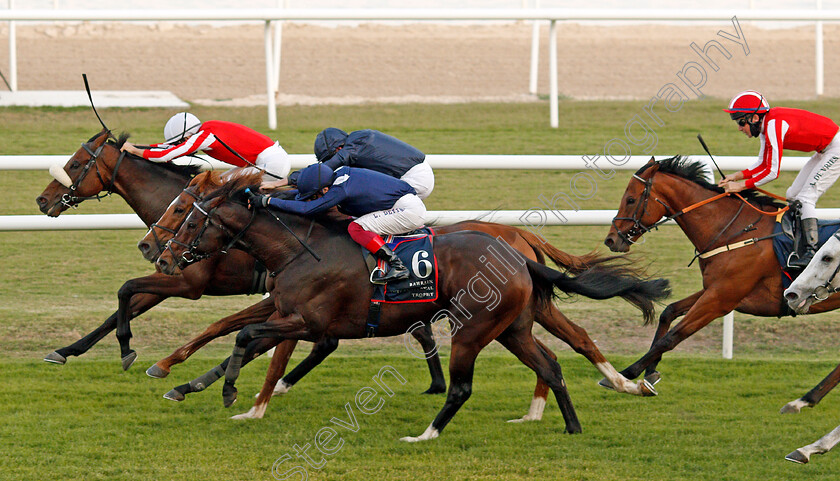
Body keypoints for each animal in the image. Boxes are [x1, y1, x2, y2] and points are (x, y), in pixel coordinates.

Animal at [604, 155, 840, 412]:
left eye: (630, 199)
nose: (611, 239)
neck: (736, 231)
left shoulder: (721, 299)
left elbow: (674, 336)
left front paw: (623, 375)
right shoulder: (715, 290)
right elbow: (669, 312)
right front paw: (650, 373)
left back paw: (805, 399)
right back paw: (806, 399)